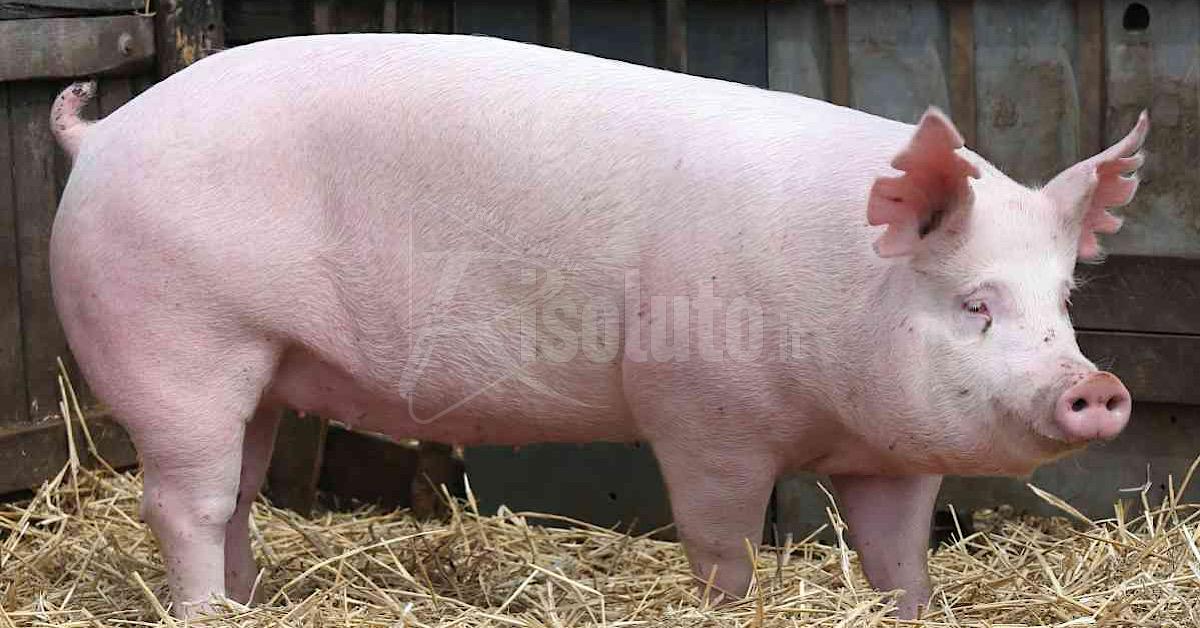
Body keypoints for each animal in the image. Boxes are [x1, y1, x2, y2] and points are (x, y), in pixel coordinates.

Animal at [48, 33, 1144, 618]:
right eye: (975, 303)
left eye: (1062, 303)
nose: (1096, 386)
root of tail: (100, 136)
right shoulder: (702, 415)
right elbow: (722, 546)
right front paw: (730, 606)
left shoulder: (894, 454)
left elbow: (901, 560)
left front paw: (904, 607)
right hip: (178, 344)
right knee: (184, 502)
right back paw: (204, 613)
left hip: (263, 365)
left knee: (237, 493)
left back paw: (251, 607)